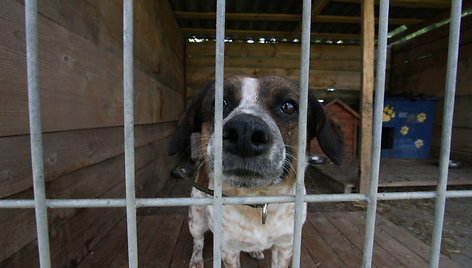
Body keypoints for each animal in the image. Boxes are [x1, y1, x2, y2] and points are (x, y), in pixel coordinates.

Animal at [170, 75, 342, 268]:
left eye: (289, 106)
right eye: (219, 103)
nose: (244, 130)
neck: (257, 200)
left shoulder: (285, 245)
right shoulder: (228, 248)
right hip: (196, 218)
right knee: (198, 241)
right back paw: (196, 260)